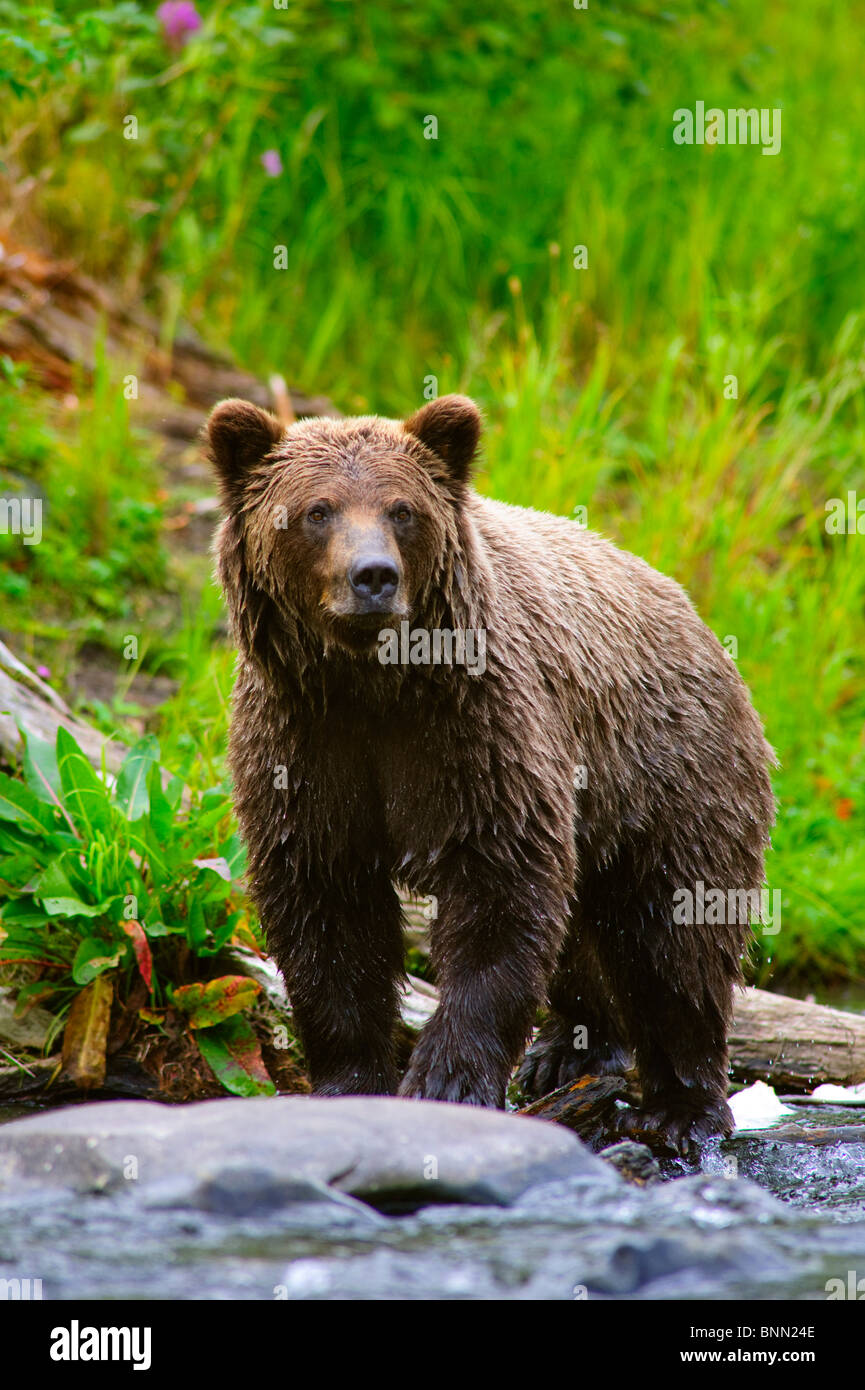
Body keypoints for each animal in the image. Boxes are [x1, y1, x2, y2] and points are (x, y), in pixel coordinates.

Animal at [207, 393, 775, 1154]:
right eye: (316, 510)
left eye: (401, 509)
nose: (373, 576)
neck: (372, 684)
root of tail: (696, 618)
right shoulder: (306, 745)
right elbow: (327, 908)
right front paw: (347, 1081)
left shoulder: (478, 730)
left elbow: (501, 894)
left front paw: (446, 1079)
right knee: (589, 933)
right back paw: (568, 1048)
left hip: (670, 773)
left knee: (675, 936)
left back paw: (678, 1105)